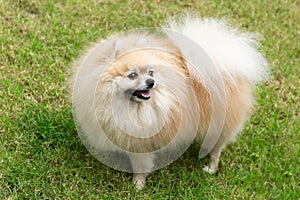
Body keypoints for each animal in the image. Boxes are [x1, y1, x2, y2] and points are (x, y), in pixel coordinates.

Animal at [69, 16, 268, 190]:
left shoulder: (141, 144)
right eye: (132, 75)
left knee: (216, 150)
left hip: (218, 126)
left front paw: (137, 185)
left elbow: (140, 166)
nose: (151, 82)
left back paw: (211, 169)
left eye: (150, 72)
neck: (127, 105)